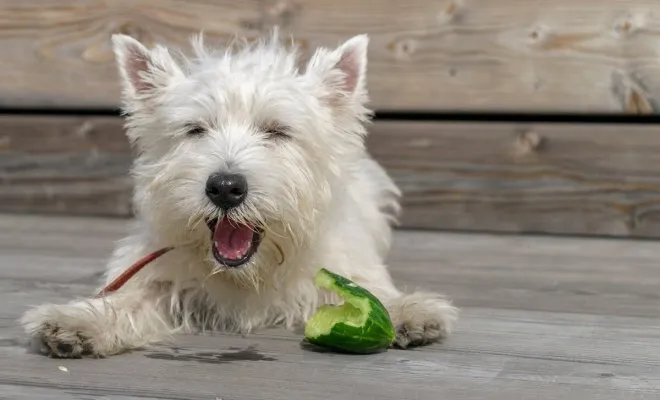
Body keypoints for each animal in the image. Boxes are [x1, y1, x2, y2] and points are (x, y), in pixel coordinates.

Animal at [20, 29, 456, 358]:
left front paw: (408, 311)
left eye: (277, 131)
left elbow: (371, 291)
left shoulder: (349, 265)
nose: (225, 187)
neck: (250, 275)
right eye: (195, 129)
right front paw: (77, 322)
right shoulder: (156, 274)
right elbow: (128, 300)